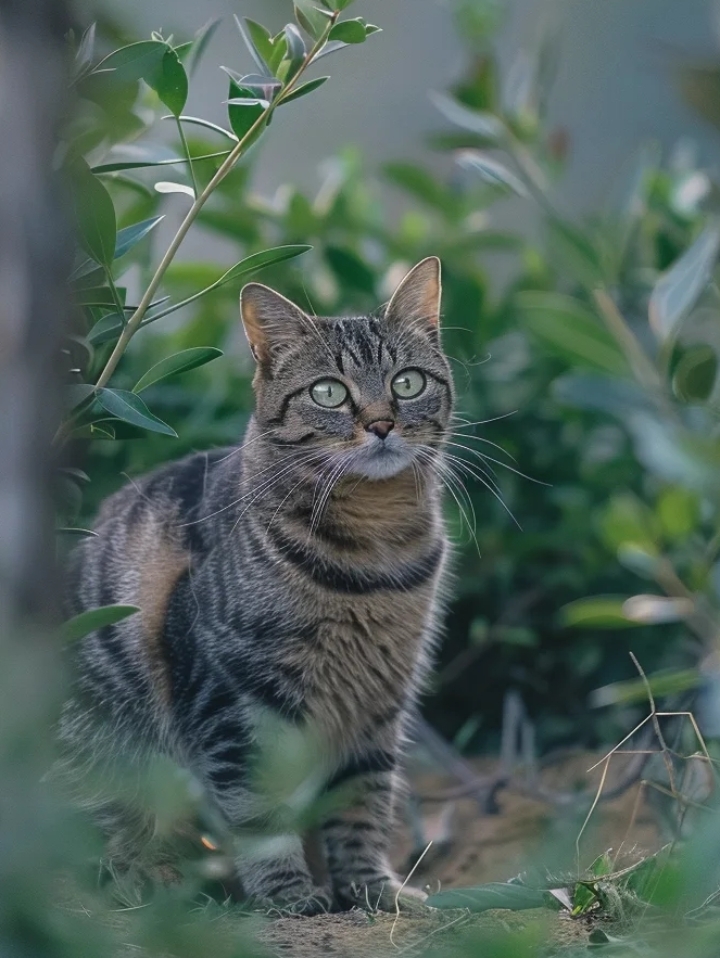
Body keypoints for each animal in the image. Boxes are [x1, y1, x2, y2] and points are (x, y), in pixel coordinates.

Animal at [63, 256, 456, 916]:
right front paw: (290, 895)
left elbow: (362, 800)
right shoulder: (229, 698)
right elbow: (257, 814)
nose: (381, 424)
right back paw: (151, 879)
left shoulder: (378, 699)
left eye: (407, 383)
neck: (375, 549)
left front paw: (370, 888)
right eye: (328, 391)